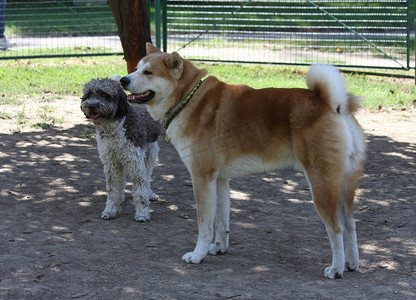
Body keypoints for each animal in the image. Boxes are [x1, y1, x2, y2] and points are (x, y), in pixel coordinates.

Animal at [81, 78, 161, 220]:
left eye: (105, 94)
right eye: (89, 95)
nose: (91, 106)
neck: (113, 130)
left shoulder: (135, 163)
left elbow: (140, 189)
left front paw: (142, 213)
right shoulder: (111, 164)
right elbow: (113, 190)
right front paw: (111, 209)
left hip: (151, 154)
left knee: (147, 176)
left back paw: (149, 193)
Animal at [118, 42, 366, 278]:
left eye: (148, 72)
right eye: (136, 68)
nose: (123, 79)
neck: (188, 99)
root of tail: (333, 105)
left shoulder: (201, 178)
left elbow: (204, 225)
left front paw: (198, 254)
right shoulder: (219, 179)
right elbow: (222, 221)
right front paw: (219, 247)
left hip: (321, 185)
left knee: (336, 229)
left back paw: (336, 269)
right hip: (343, 185)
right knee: (351, 225)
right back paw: (351, 264)